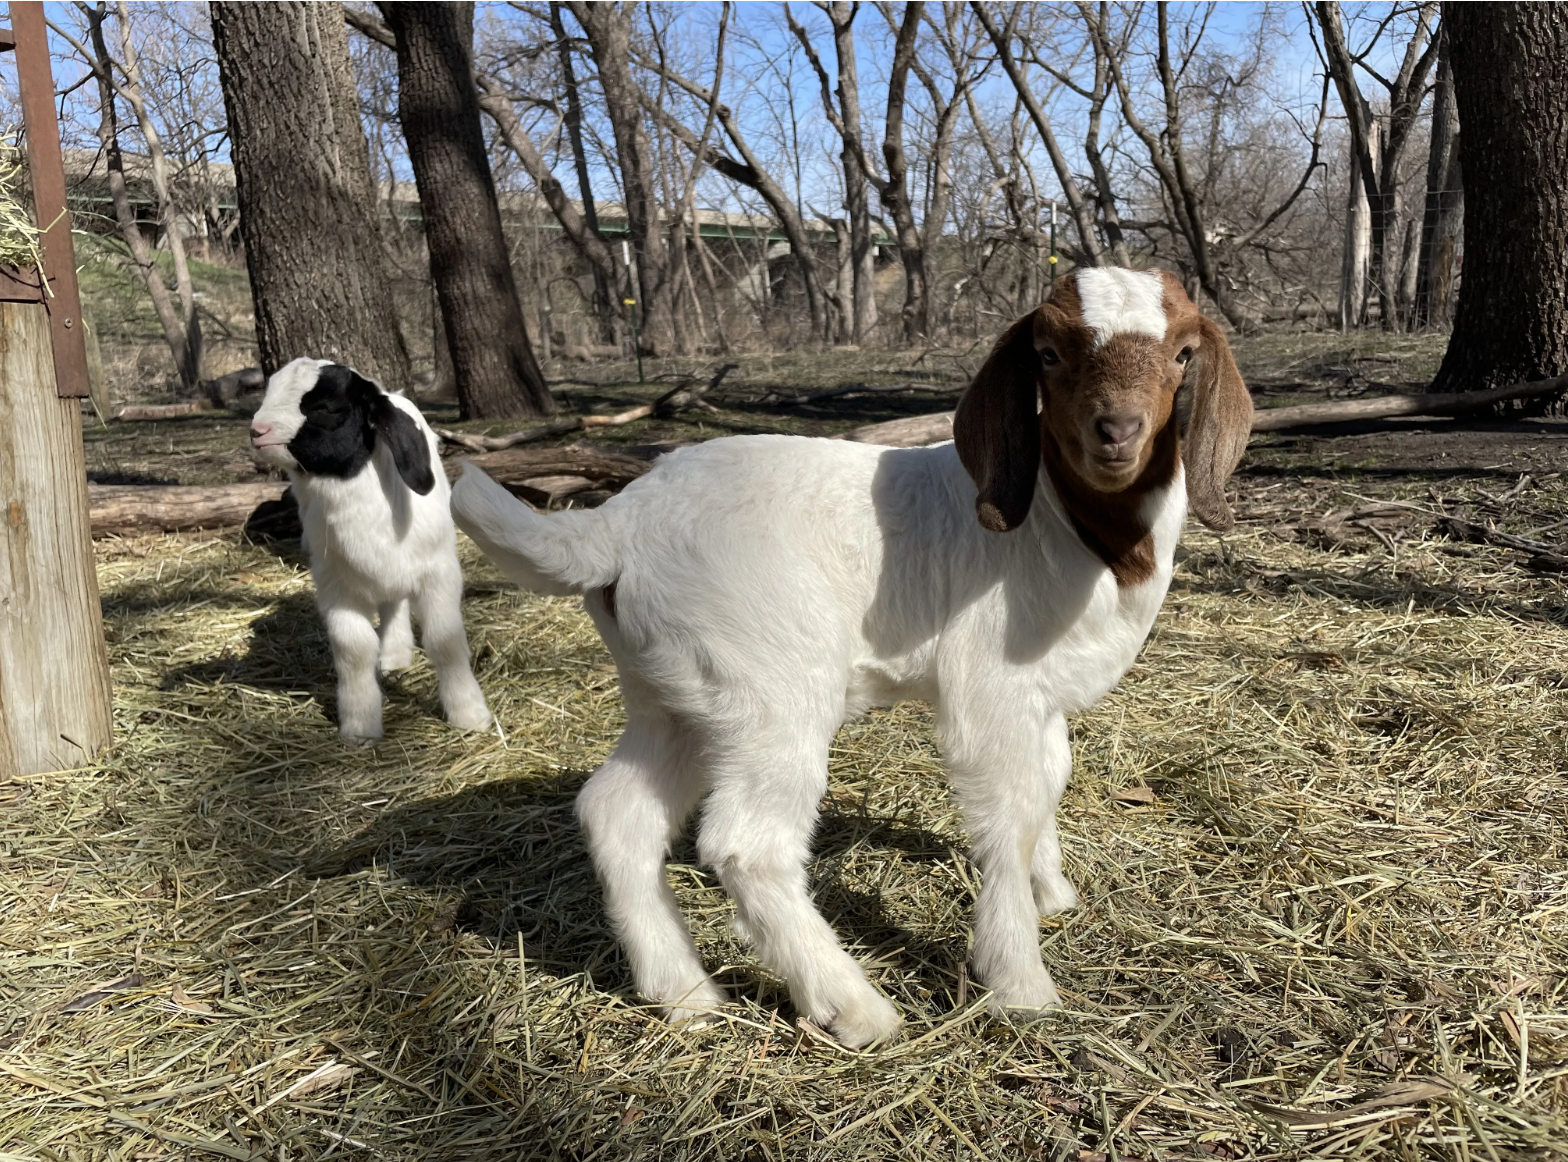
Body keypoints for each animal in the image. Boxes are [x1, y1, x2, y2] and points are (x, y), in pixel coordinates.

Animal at [250, 358, 491, 741]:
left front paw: (470, 715)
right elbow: (354, 650)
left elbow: (445, 642)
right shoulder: (336, 587)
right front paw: (360, 726)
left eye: (327, 407)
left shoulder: (439, 574)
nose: (257, 431)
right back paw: (393, 657)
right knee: (392, 604)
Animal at [450, 269, 1252, 1047]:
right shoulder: (990, 686)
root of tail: (616, 524)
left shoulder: (1041, 696)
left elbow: (1049, 780)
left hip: (677, 695)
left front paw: (1049, 892)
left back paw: (686, 996)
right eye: (1049, 354)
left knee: (617, 814)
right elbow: (1009, 813)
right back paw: (854, 1008)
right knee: (748, 846)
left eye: (1184, 354)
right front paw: (1021, 986)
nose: (1116, 432)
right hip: (771, 688)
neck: (1069, 526)